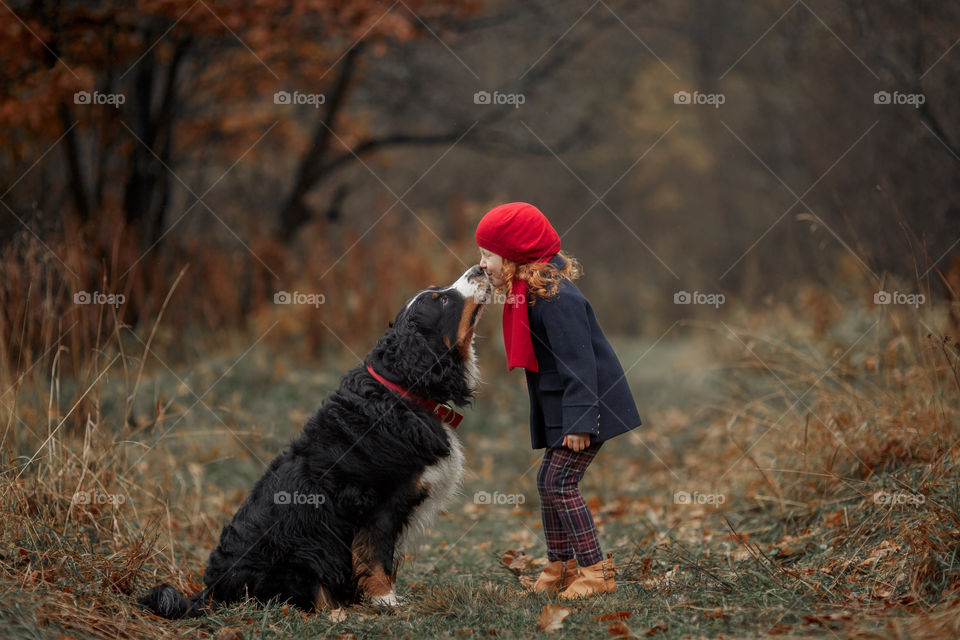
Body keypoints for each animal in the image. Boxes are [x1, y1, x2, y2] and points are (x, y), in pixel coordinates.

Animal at [139, 264, 492, 616]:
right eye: (442, 300)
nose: (480, 268)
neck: (403, 391)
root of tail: (212, 591)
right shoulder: (381, 504)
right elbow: (376, 556)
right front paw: (385, 600)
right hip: (308, 549)